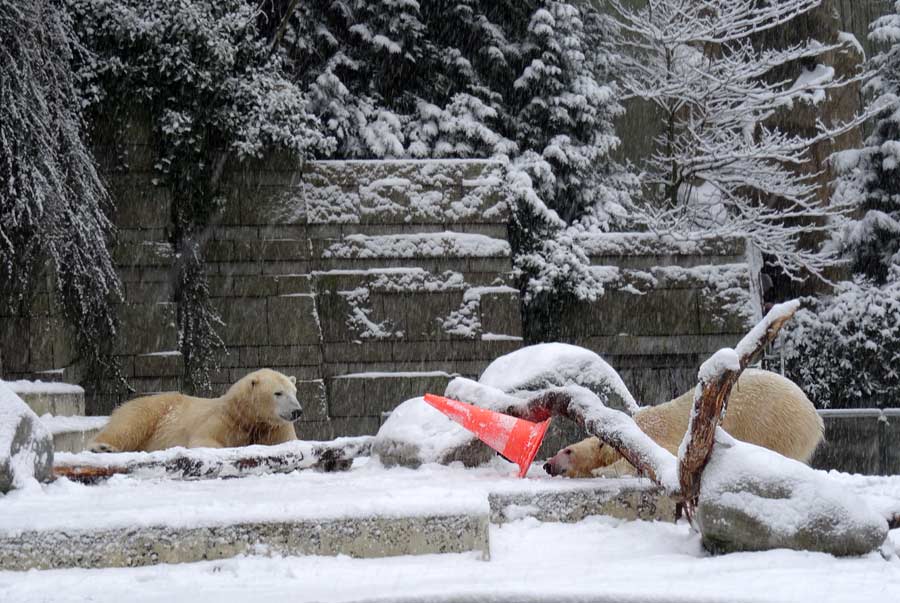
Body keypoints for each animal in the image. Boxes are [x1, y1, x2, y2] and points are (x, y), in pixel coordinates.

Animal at [89, 368, 304, 452]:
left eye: (294, 391)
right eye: (278, 393)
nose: (297, 411)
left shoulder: (274, 429)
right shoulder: (223, 419)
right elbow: (204, 440)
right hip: (152, 410)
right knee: (128, 425)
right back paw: (102, 447)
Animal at [540, 370, 824, 478]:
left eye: (568, 451)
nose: (547, 464)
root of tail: (815, 417)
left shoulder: (658, 435)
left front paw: (603, 471)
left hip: (775, 423)